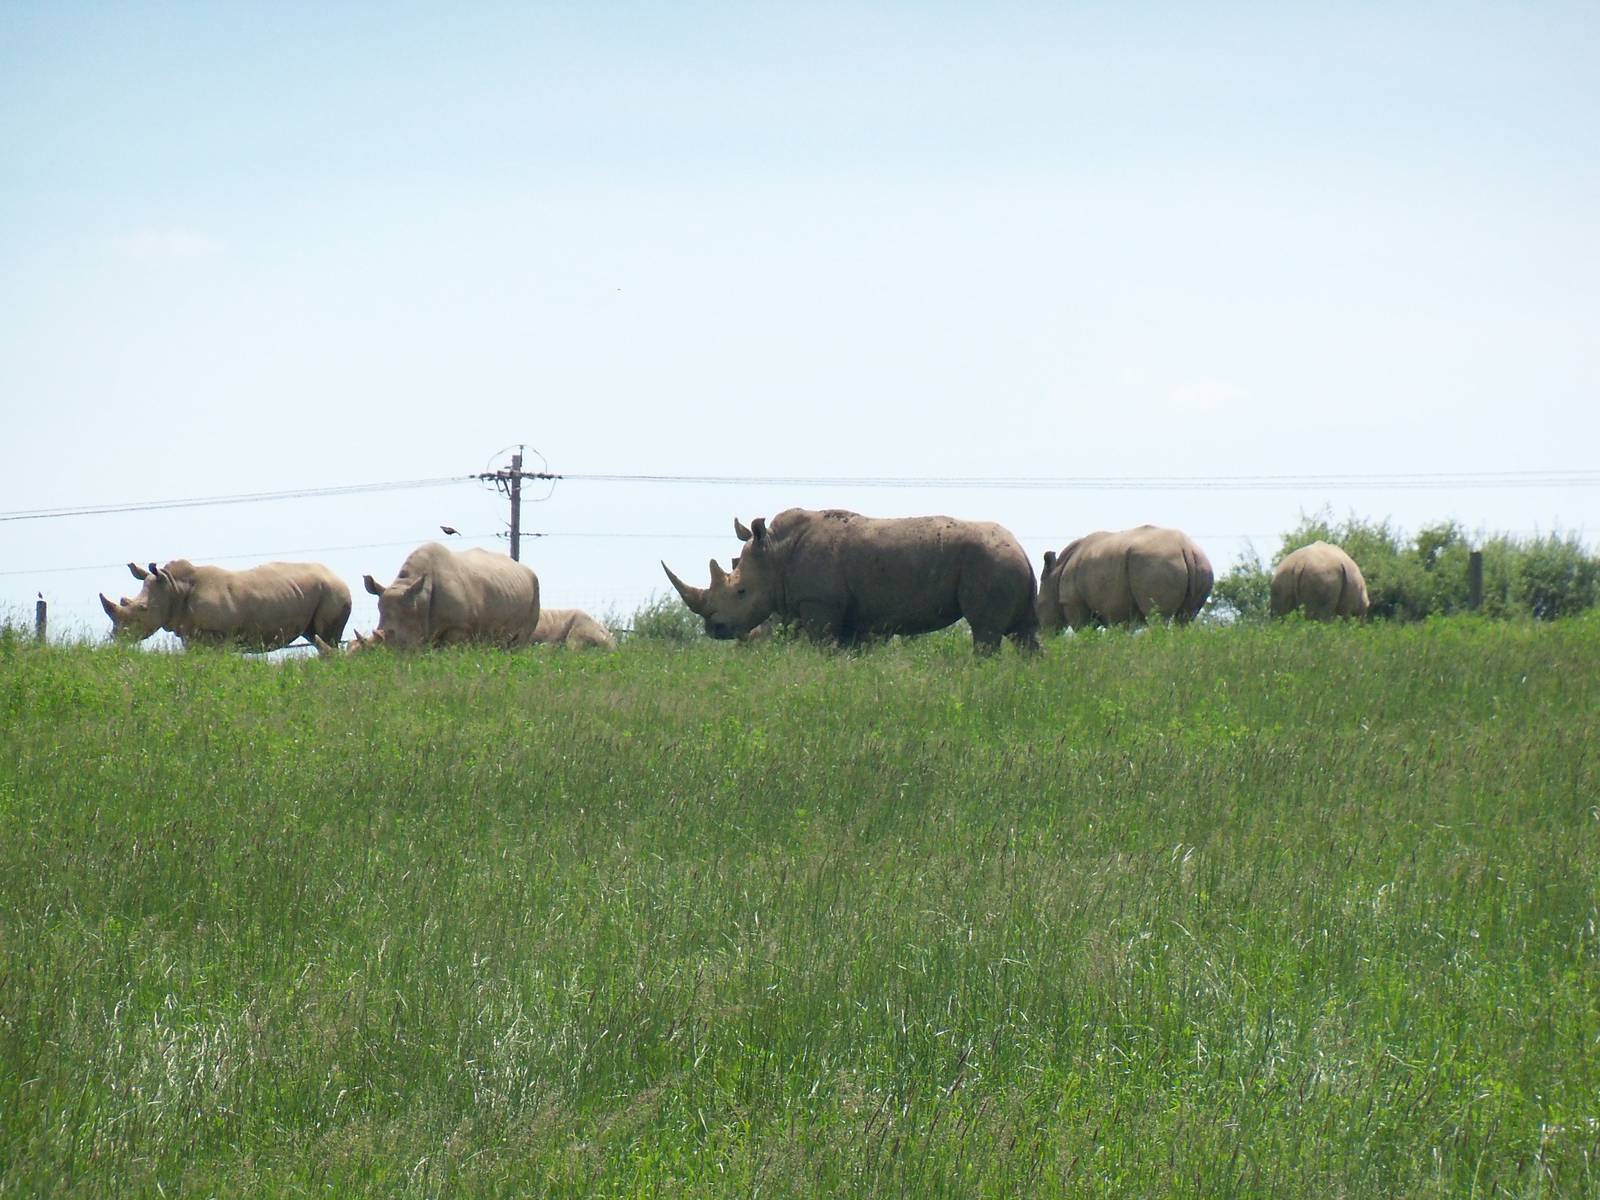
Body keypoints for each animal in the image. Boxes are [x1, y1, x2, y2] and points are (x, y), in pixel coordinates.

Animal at [99, 560, 351, 650]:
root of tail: (337, 576)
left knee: (326, 637)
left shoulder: (220, 635)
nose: (116, 637)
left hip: (334, 592)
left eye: (142, 610)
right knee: (314, 636)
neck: (172, 589)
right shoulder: (190, 634)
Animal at [357, 542, 541, 649]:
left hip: (535, 588)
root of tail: (524, 568)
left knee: (520, 641)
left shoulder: (458, 626)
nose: (387, 659)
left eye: (402, 642)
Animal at [663, 508, 1039, 653]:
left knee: (985, 631)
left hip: (989, 563)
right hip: (1006, 564)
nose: (714, 630)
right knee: (1024, 633)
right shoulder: (849, 615)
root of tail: (1021, 549)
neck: (775, 552)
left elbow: (822, 646)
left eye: (741, 592)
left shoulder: (820, 604)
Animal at [1037, 525, 1213, 631]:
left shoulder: (1073, 601)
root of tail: (1186, 548)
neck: (1055, 575)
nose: (1043, 635)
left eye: (1039, 606)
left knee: (1158, 616)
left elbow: (1083, 630)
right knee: (1186, 618)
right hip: (1201, 565)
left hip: (1158, 563)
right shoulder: (1118, 608)